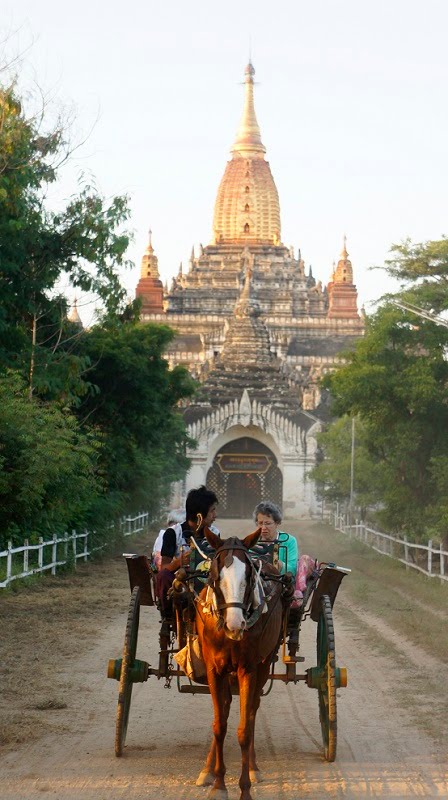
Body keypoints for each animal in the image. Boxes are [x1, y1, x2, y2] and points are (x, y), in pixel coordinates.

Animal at [195, 524, 288, 800]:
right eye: (215, 574)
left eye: (248, 574)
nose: (235, 624)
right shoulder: (215, 669)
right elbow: (219, 726)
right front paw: (218, 784)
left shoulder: (248, 668)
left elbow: (244, 729)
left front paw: (244, 788)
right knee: (225, 708)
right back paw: (208, 769)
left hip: (264, 663)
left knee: (253, 709)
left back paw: (254, 767)